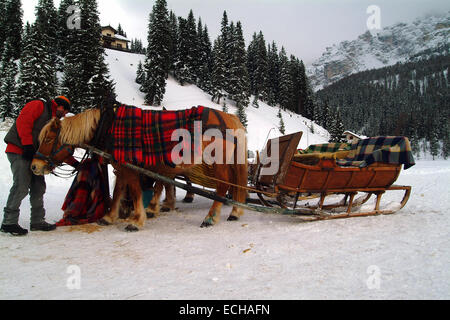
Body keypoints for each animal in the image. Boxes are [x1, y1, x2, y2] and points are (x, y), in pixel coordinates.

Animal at [32, 107, 248, 230]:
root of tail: (230, 119)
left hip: (217, 162)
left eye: (49, 139)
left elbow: (136, 191)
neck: (110, 126)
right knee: (234, 186)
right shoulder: (122, 167)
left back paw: (210, 218)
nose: (35, 166)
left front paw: (136, 220)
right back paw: (235, 211)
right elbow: (119, 191)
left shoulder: (132, 168)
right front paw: (109, 217)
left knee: (224, 186)